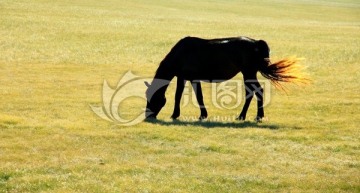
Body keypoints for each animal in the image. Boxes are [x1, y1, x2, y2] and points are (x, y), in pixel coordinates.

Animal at [145, 36, 306, 121]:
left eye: (152, 98)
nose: (148, 115)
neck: (180, 54)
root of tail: (256, 42)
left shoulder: (188, 77)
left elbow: (188, 96)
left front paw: (180, 115)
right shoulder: (187, 78)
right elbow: (188, 96)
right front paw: (199, 114)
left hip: (248, 72)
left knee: (256, 91)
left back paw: (255, 116)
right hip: (248, 73)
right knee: (252, 92)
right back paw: (245, 116)